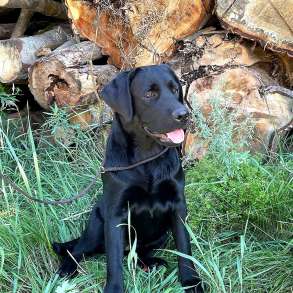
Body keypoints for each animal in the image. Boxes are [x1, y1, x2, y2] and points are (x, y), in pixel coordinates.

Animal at [52, 64, 203, 292]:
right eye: (149, 94)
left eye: (175, 89)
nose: (184, 114)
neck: (147, 158)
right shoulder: (116, 213)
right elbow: (114, 262)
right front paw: (114, 289)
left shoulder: (178, 205)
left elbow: (185, 248)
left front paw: (191, 282)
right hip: (97, 224)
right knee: (78, 249)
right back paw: (67, 268)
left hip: (159, 235)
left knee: (137, 253)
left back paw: (151, 263)